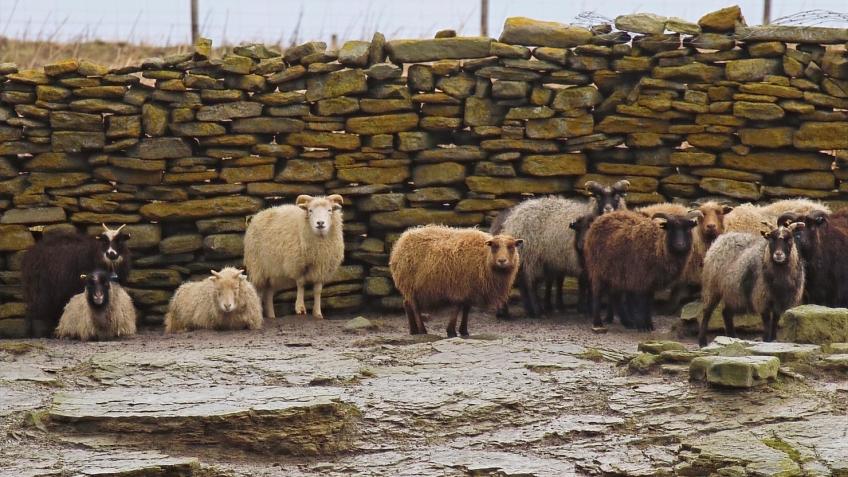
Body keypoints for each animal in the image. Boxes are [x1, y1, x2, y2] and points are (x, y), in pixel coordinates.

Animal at [389, 225, 522, 337]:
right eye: (494, 246)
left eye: (511, 247)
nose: (502, 261)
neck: (484, 257)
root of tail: (403, 238)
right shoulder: (460, 287)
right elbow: (457, 307)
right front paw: (451, 331)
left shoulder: (470, 289)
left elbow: (466, 309)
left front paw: (464, 331)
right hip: (409, 284)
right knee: (415, 307)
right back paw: (422, 330)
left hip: (411, 287)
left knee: (406, 304)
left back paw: (413, 330)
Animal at [496, 179, 630, 318]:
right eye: (598, 196)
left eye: (617, 197)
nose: (608, 209)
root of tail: (513, 217)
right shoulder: (577, 261)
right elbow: (585, 283)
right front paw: (585, 308)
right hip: (531, 255)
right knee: (529, 283)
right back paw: (536, 311)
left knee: (522, 282)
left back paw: (529, 310)